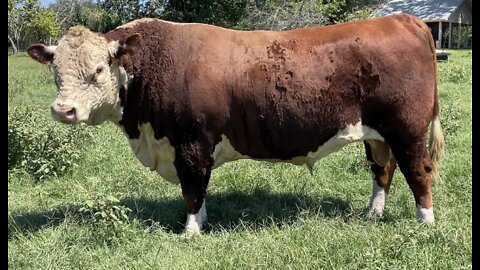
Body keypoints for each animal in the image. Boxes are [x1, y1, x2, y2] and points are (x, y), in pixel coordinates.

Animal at [28, 13, 444, 234]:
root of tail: (401, 19)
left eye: (99, 69)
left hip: (407, 129)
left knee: (417, 170)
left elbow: (193, 187)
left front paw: (191, 231)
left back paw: (425, 222)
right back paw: (374, 213)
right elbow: (197, 189)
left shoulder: (192, 142)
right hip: (376, 135)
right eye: (55, 71)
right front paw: (202, 220)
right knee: (382, 170)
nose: (63, 110)